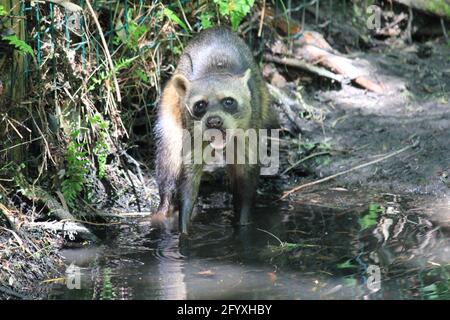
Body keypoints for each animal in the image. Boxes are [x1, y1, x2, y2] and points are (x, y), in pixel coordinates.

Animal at [154, 26, 274, 234]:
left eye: (228, 101)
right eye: (200, 105)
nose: (214, 121)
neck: (216, 71)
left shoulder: (251, 124)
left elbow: (246, 175)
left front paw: (243, 223)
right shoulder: (190, 127)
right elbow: (188, 175)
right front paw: (183, 227)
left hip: (263, 96)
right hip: (170, 102)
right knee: (169, 156)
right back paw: (165, 206)